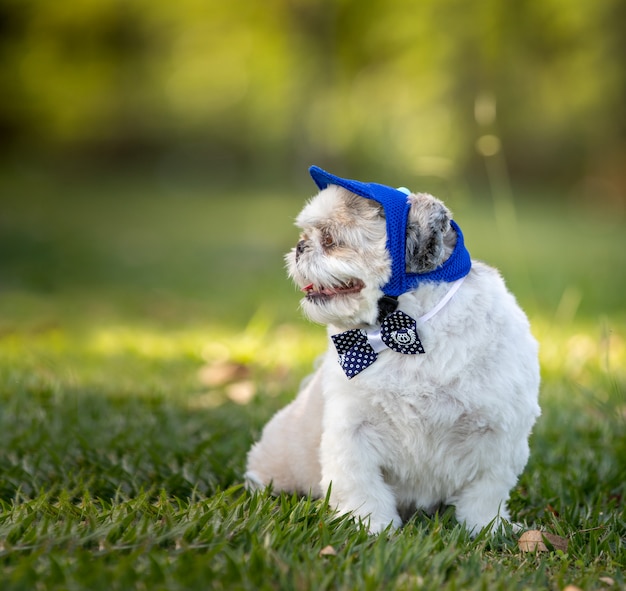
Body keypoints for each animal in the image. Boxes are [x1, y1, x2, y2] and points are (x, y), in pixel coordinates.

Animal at [246, 166, 540, 536]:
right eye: (306, 235)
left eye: (329, 240)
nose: (300, 247)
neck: (404, 331)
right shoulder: (353, 431)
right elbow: (360, 484)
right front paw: (369, 525)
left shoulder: (498, 434)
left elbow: (486, 491)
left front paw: (487, 529)